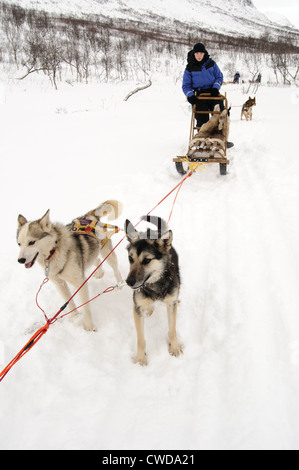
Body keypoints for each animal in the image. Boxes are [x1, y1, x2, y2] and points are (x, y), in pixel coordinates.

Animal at [17, 200, 122, 332]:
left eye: (31, 242)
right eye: (19, 244)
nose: (20, 260)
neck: (54, 251)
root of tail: (88, 216)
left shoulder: (80, 282)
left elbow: (86, 307)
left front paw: (89, 326)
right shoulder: (59, 283)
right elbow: (69, 302)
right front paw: (75, 317)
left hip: (106, 251)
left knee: (115, 267)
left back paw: (120, 284)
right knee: (96, 259)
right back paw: (99, 273)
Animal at [125, 215, 183, 366]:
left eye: (147, 260)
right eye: (130, 258)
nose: (129, 282)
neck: (154, 286)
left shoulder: (170, 304)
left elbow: (172, 330)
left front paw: (174, 347)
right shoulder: (137, 308)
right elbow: (140, 339)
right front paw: (140, 359)